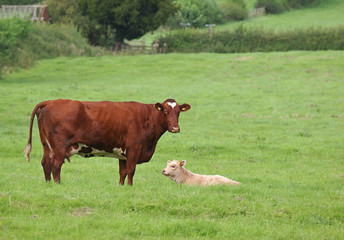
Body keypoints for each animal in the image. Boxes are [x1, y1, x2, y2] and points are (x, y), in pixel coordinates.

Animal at [24, 98, 191, 185]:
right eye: (165, 111)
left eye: (178, 112)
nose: (175, 128)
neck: (147, 118)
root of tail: (51, 101)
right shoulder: (134, 149)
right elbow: (131, 170)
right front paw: (130, 187)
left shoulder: (123, 153)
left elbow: (122, 172)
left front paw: (122, 187)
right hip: (59, 147)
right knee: (56, 165)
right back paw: (58, 184)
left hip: (47, 145)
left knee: (46, 163)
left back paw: (48, 184)